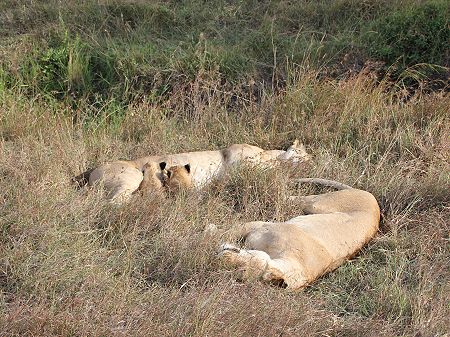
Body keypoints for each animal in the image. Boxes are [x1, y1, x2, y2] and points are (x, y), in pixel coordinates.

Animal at [218, 177, 380, 290]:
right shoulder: (261, 226)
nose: (222, 257)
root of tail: (373, 199)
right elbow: (229, 230)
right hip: (316, 204)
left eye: (240, 271)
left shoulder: (261, 227)